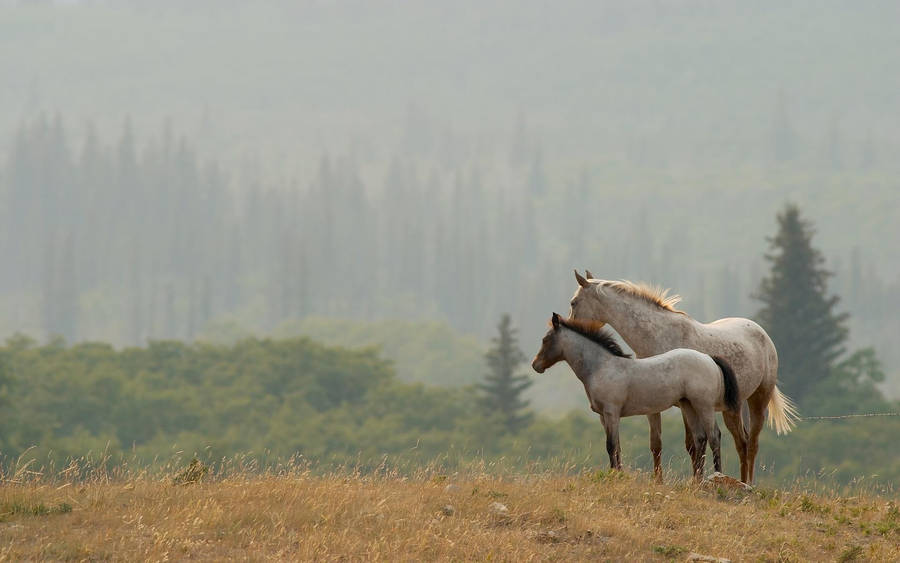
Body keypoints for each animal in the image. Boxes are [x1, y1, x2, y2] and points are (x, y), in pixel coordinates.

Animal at [531, 313, 741, 480]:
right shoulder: (603, 417)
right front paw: (618, 473)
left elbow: (611, 445)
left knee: (714, 436)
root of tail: (708, 358)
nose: (535, 365)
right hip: (688, 405)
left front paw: (615, 476)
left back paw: (717, 476)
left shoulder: (611, 412)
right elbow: (616, 446)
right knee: (700, 438)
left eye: (545, 340)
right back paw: (696, 481)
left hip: (704, 406)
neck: (602, 367)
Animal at [569, 270, 799, 483]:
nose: (569, 325)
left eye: (574, 302)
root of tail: (762, 333)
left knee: (751, 444)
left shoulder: (685, 404)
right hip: (732, 408)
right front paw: (660, 481)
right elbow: (657, 444)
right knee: (741, 442)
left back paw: (747, 483)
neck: (659, 335)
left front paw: (697, 479)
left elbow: (694, 444)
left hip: (758, 400)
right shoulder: (653, 405)